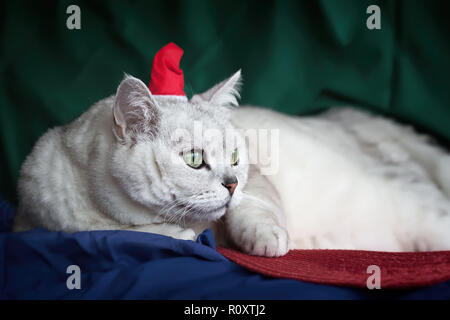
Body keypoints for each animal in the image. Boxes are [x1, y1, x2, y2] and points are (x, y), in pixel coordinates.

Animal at [13, 71, 450, 256]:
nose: (231, 184)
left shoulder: (258, 182)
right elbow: (110, 233)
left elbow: (251, 211)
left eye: (237, 157)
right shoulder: (39, 219)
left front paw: (267, 241)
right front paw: (176, 235)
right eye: (194, 159)